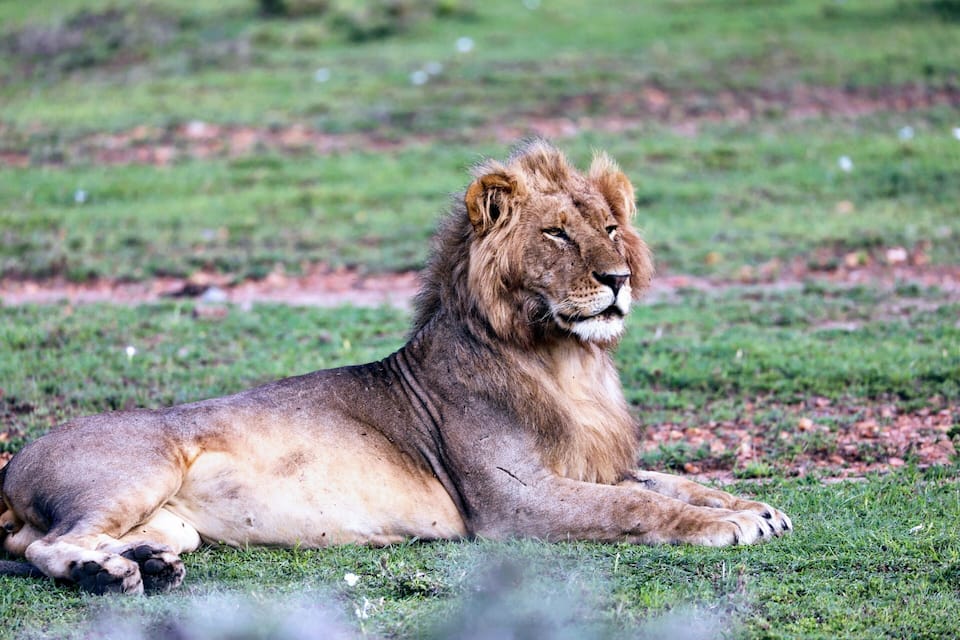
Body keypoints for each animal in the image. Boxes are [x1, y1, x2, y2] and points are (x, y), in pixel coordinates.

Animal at [0, 140, 791, 595]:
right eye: (558, 234)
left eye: (611, 227)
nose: (618, 277)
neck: (566, 362)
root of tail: (13, 466)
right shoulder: (511, 504)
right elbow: (635, 506)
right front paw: (727, 525)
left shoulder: (594, 463)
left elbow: (672, 480)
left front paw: (754, 507)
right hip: (142, 468)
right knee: (50, 544)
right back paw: (108, 575)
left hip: (174, 523)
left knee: (47, 542)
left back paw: (147, 565)